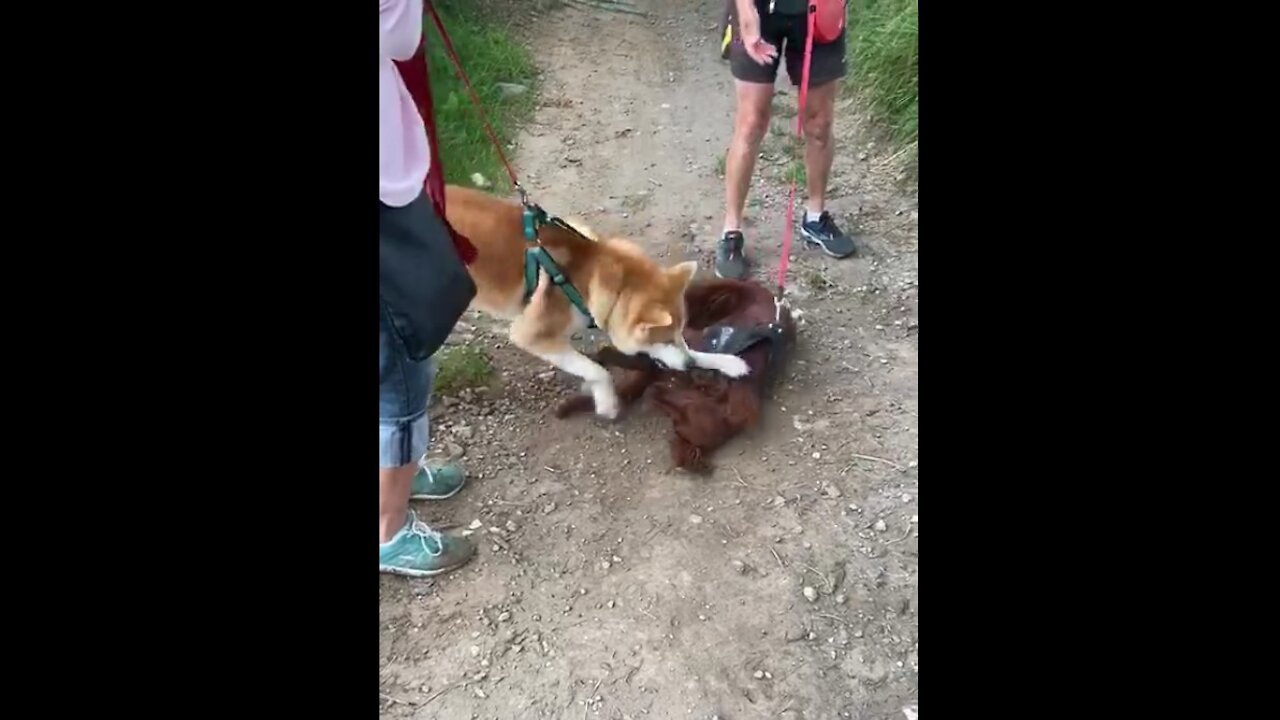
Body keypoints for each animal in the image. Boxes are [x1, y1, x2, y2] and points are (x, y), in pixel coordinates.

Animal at [448, 184, 752, 417]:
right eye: (662, 339)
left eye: (678, 334)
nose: (688, 366)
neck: (587, 280)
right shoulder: (532, 335)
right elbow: (598, 371)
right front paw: (606, 402)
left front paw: (725, 362)